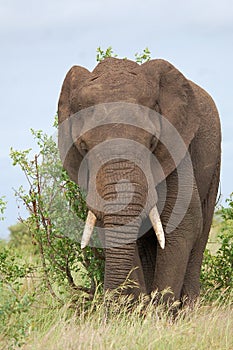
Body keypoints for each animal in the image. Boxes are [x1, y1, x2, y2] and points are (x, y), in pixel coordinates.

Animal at [57, 57, 221, 304]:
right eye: (84, 147)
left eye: (152, 142)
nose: (107, 305)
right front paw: (138, 307)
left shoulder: (177, 146)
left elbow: (183, 224)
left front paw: (159, 310)